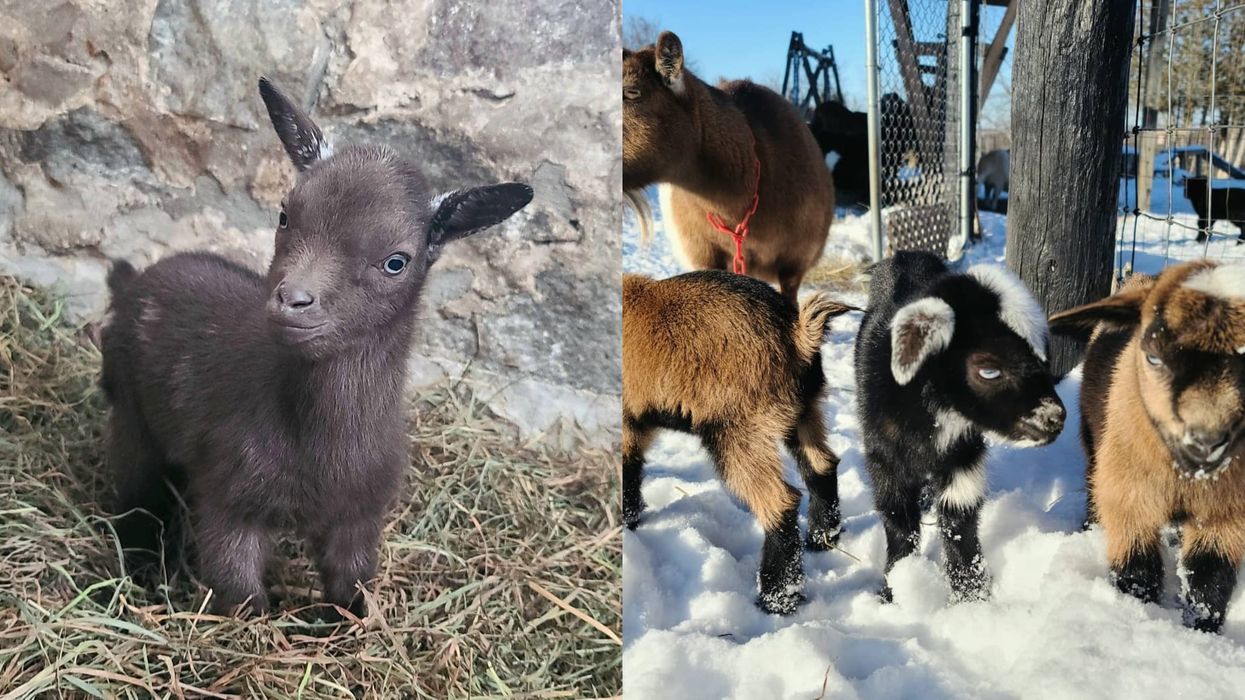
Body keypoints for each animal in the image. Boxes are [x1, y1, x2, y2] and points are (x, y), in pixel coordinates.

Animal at [99, 77, 532, 618]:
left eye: (396, 261)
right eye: (285, 215)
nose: (293, 300)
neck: (320, 442)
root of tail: (133, 282)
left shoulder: (360, 515)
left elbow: (353, 588)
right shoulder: (230, 498)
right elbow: (240, 596)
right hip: (131, 412)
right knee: (136, 493)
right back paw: (142, 571)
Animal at [622, 270, 855, 614]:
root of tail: (796, 334)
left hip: (737, 429)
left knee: (780, 501)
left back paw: (776, 597)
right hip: (804, 413)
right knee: (822, 466)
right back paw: (822, 539)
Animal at [855, 251, 1065, 601]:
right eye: (989, 370)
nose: (1055, 418)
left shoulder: (964, 453)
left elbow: (959, 517)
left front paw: (972, 598)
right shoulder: (881, 453)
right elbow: (898, 518)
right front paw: (896, 586)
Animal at [1050, 261, 1245, 632]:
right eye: (1153, 357)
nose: (1205, 442)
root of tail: (1139, 279)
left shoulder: (1226, 513)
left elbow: (1209, 579)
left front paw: (1200, 632)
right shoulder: (1128, 497)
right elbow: (1137, 571)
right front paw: (1139, 618)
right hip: (1095, 445)